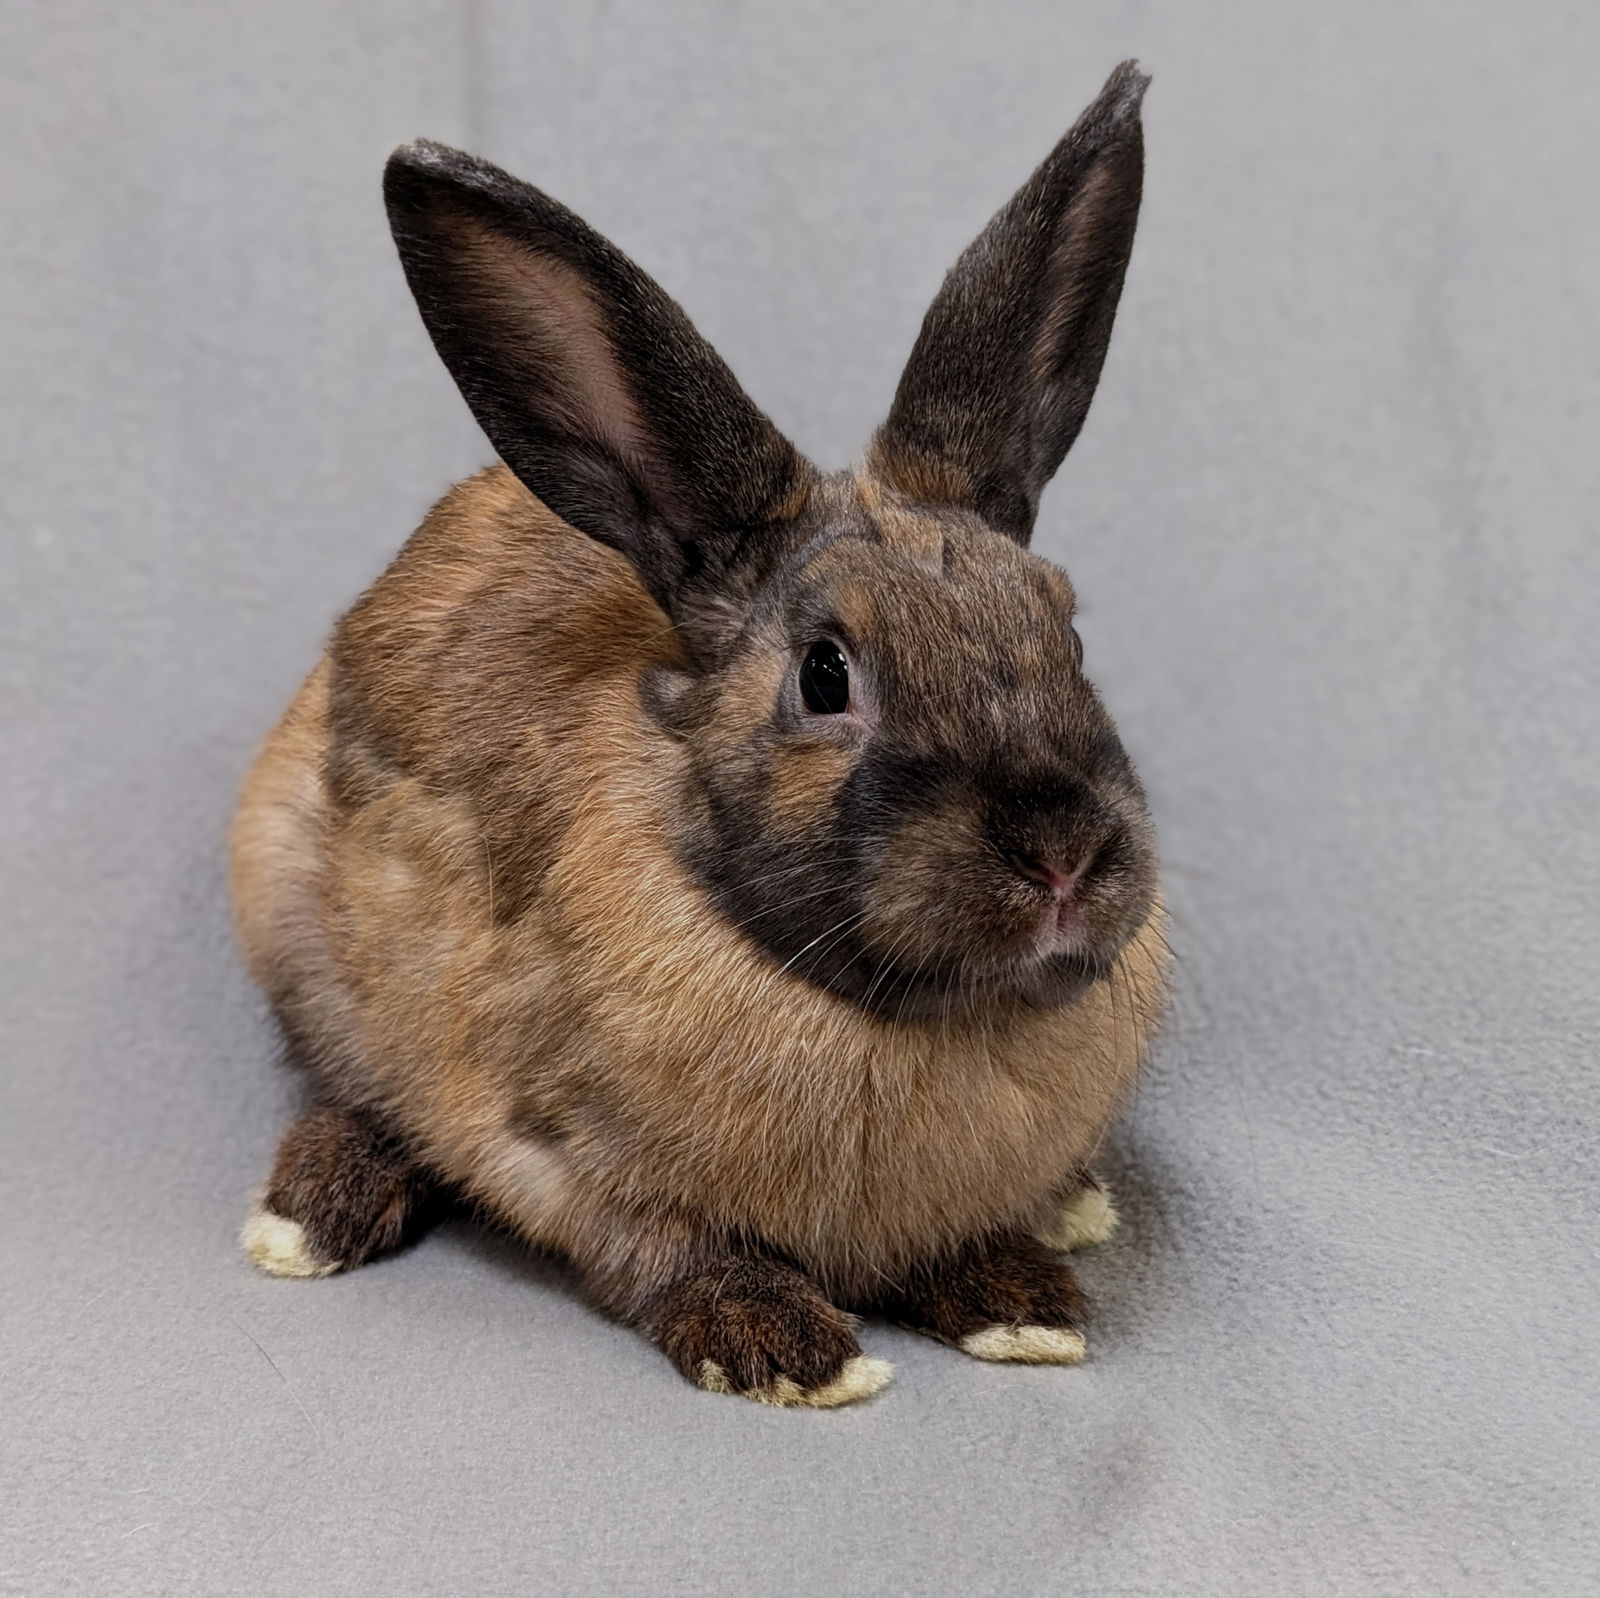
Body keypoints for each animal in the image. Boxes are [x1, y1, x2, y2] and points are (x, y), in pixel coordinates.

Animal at [232, 65, 1164, 1414]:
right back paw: (312, 1214)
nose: (1061, 854)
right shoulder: (557, 1150)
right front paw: (784, 1344)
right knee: (343, 1083)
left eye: (1068, 629)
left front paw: (1020, 1300)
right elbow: (662, 1244)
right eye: (824, 674)